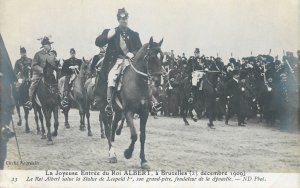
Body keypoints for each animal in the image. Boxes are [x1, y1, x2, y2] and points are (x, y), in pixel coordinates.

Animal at [95, 36, 163, 169]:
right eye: (151, 56)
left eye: (162, 57)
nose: (158, 81)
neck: (137, 83)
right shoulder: (129, 112)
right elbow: (134, 135)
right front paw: (128, 153)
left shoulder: (144, 113)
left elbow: (142, 136)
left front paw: (143, 160)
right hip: (105, 110)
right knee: (107, 129)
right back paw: (112, 154)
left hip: (117, 111)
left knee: (113, 127)